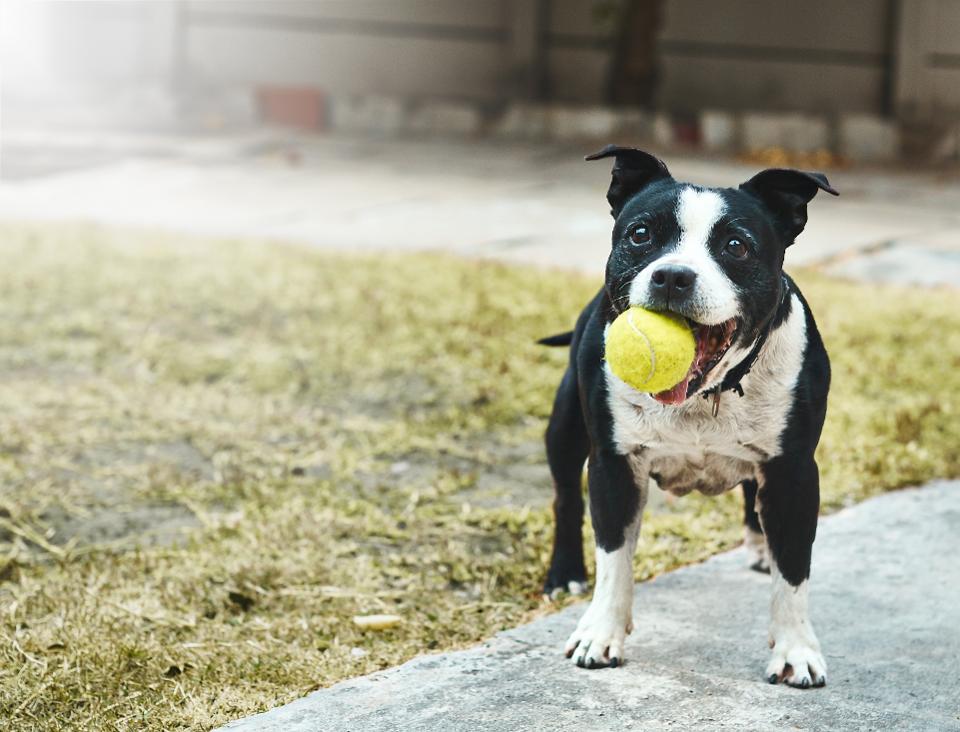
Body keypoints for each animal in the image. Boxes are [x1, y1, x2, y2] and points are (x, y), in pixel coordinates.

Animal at [544, 147, 836, 688]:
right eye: (640, 234)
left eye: (736, 246)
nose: (673, 275)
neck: (705, 394)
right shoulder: (613, 465)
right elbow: (613, 556)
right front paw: (601, 632)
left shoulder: (794, 472)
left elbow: (793, 571)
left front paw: (796, 650)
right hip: (566, 428)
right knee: (566, 499)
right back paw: (565, 573)